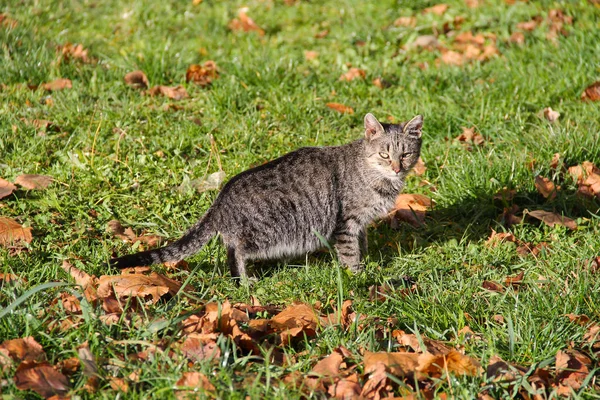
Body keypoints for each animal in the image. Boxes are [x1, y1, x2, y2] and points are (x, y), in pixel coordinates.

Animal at [110, 113, 424, 282]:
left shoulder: (359, 224)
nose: (397, 167)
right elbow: (349, 252)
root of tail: (220, 200)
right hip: (267, 233)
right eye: (384, 154)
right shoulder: (346, 222)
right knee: (235, 250)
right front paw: (356, 274)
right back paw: (244, 281)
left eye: (406, 154)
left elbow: (362, 243)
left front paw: (368, 261)